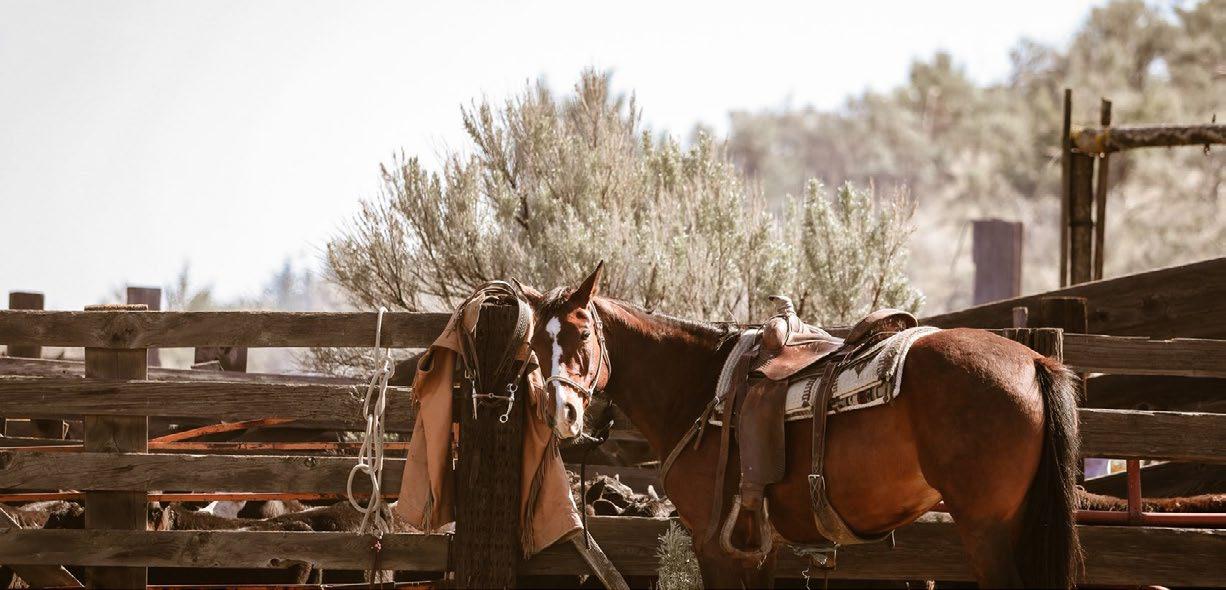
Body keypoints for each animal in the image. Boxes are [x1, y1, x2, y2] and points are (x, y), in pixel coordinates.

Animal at [526, 264, 1083, 589]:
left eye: (582, 334)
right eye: (532, 342)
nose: (563, 413)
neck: (701, 386)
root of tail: (1035, 359)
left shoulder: (713, 545)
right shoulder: (758, 547)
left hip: (988, 530)